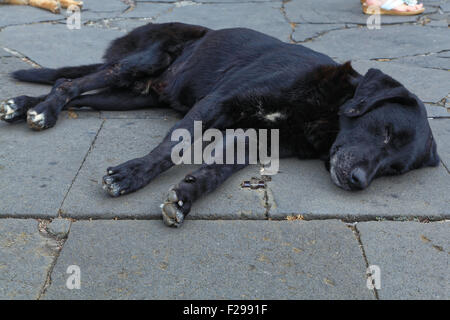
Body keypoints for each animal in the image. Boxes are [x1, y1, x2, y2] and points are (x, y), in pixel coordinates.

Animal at [0, 22, 440, 226]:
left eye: (394, 170)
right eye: (385, 131)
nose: (360, 183)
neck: (327, 110)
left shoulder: (253, 139)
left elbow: (213, 173)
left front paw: (185, 197)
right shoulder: (219, 102)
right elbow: (172, 146)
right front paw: (132, 174)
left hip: (130, 96)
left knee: (72, 91)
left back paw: (25, 106)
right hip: (138, 64)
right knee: (70, 83)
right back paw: (42, 111)